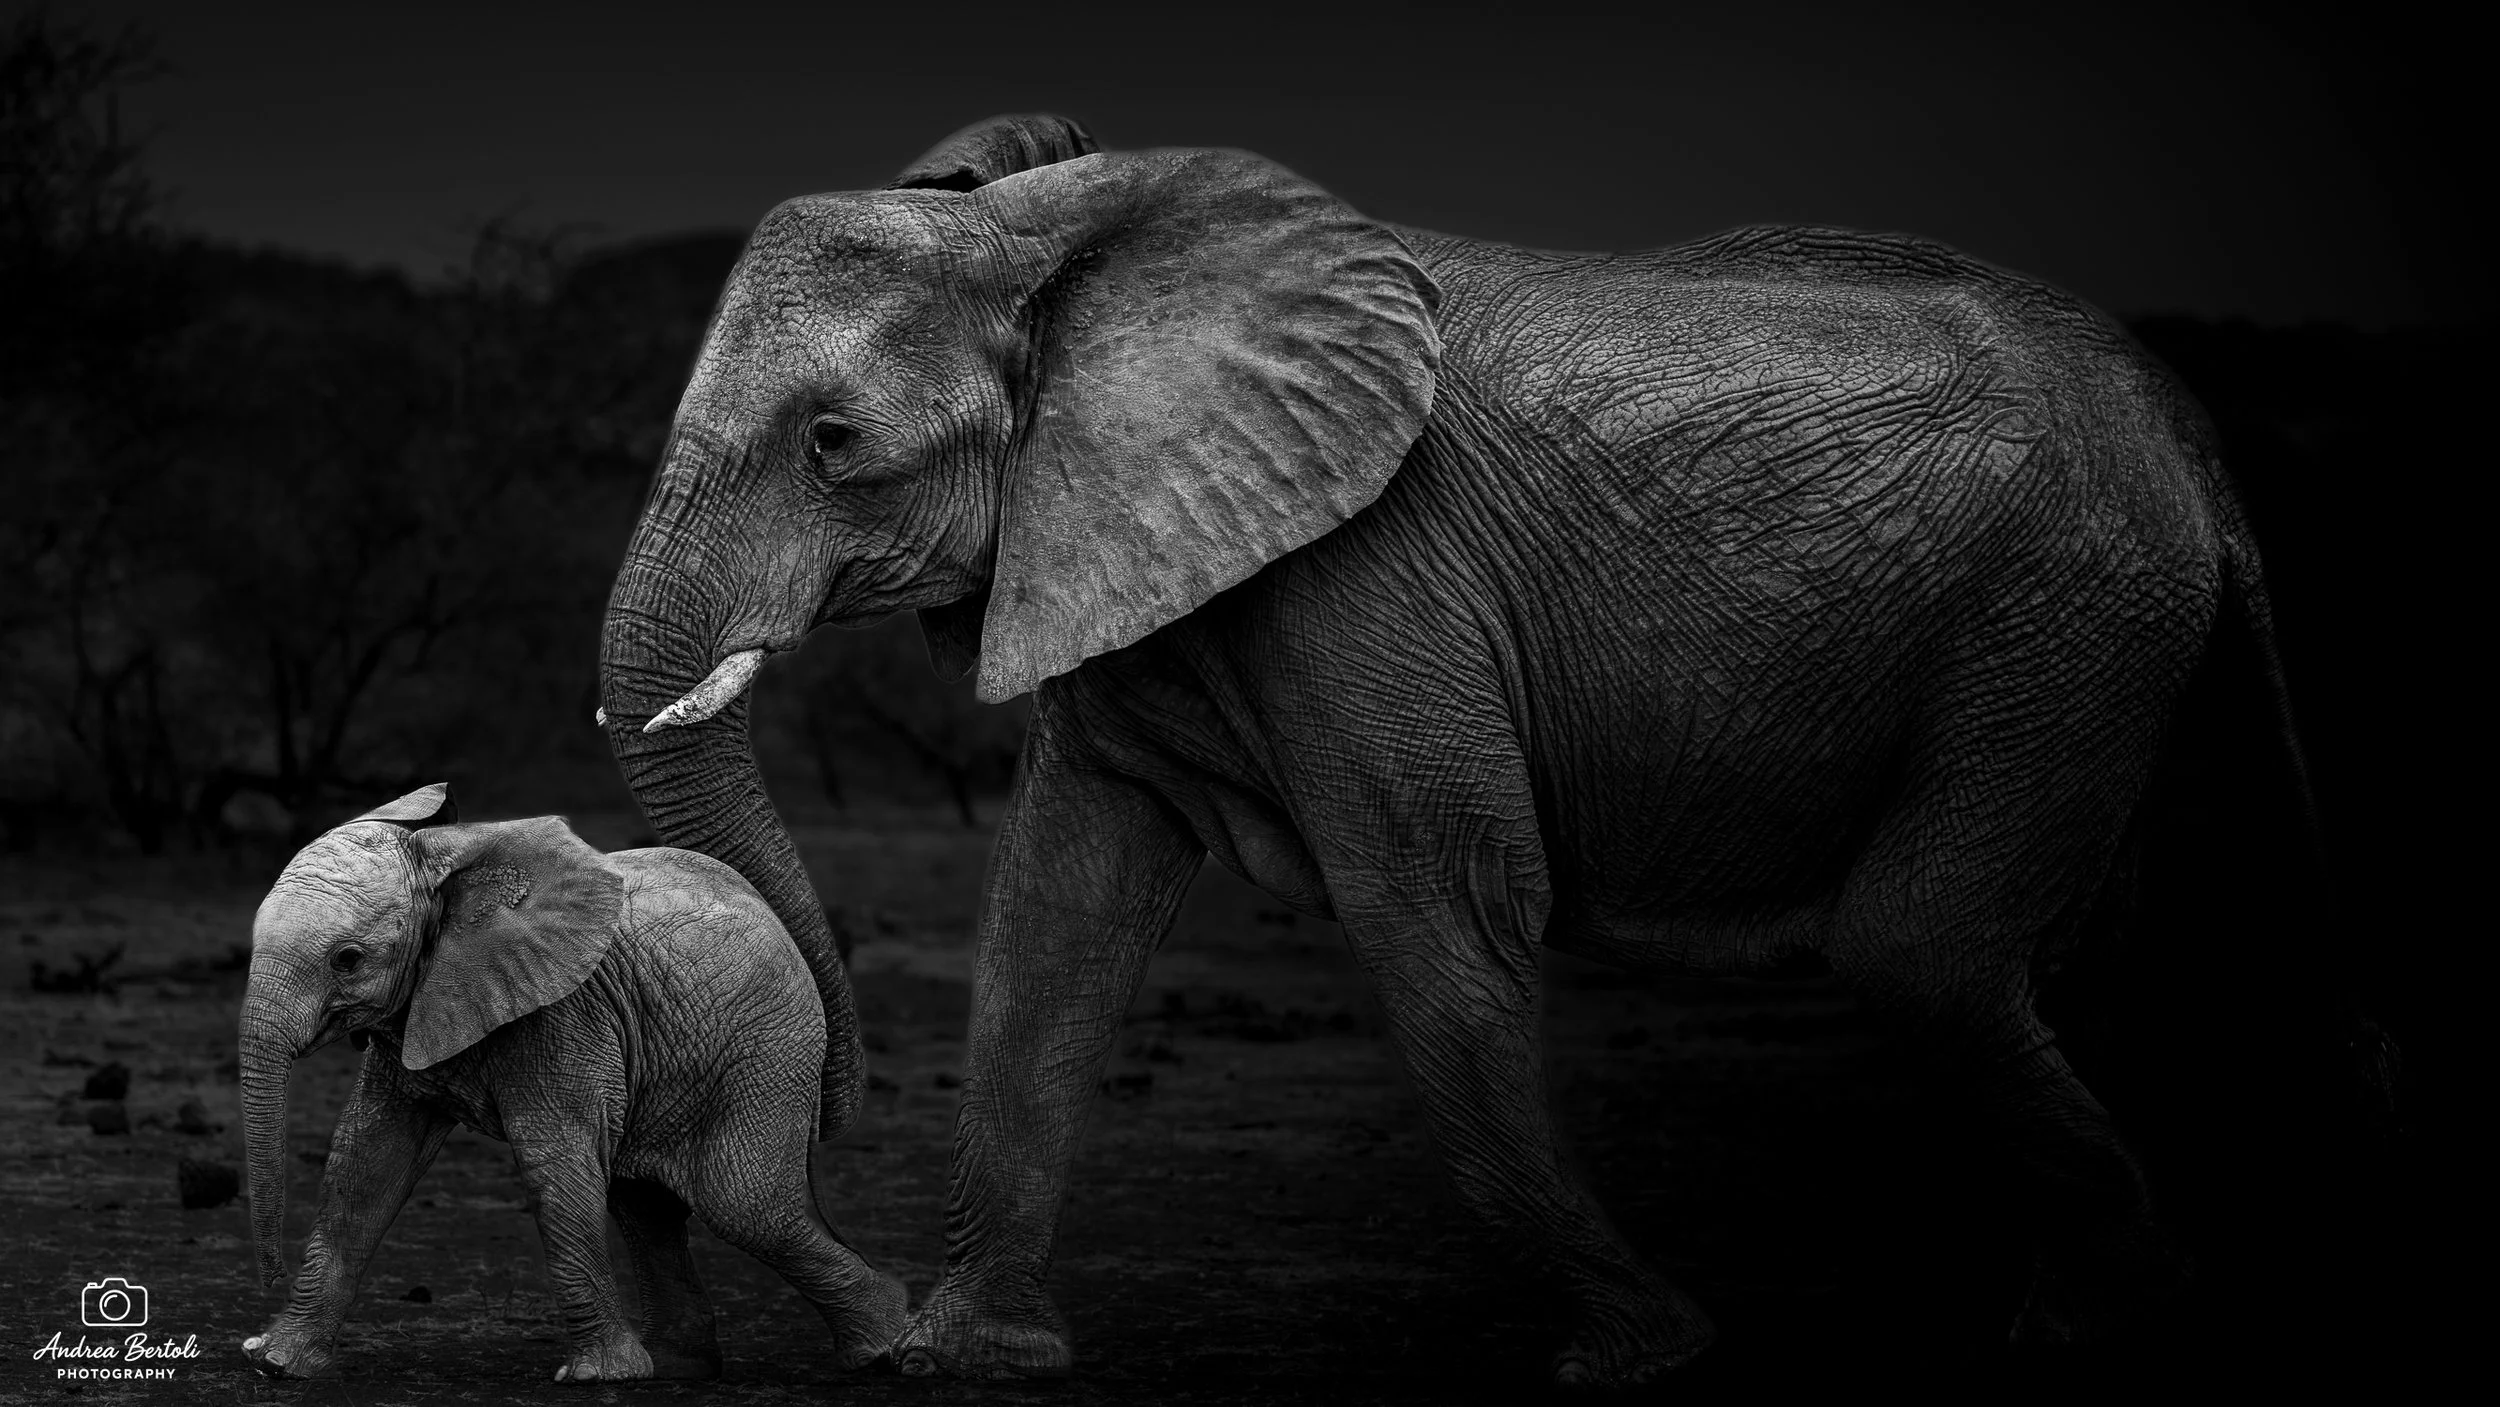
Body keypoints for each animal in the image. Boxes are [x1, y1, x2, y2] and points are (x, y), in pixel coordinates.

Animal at [235, 784, 906, 1382]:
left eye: (347, 959)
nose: (267, 1279)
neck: (448, 861)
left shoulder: (564, 1013)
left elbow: (551, 1158)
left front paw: (596, 1377)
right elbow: (367, 1163)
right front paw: (278, 1364)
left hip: (769, 1048)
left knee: (744, 1204)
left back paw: (887, 1347)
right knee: (646, 1202)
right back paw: (679, 1368)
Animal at [594, 113, 2326, 1386]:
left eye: (834, 446)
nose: (836, 1107)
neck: (1065, 233)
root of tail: (2192, 448)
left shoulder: (1375, 575)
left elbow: (1439, 903)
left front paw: (1646, 1355)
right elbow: (1055, 914)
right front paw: (972, 1357)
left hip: (2056, 628)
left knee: (1928, 948)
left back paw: (2105, 1325)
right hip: (2092, 650)